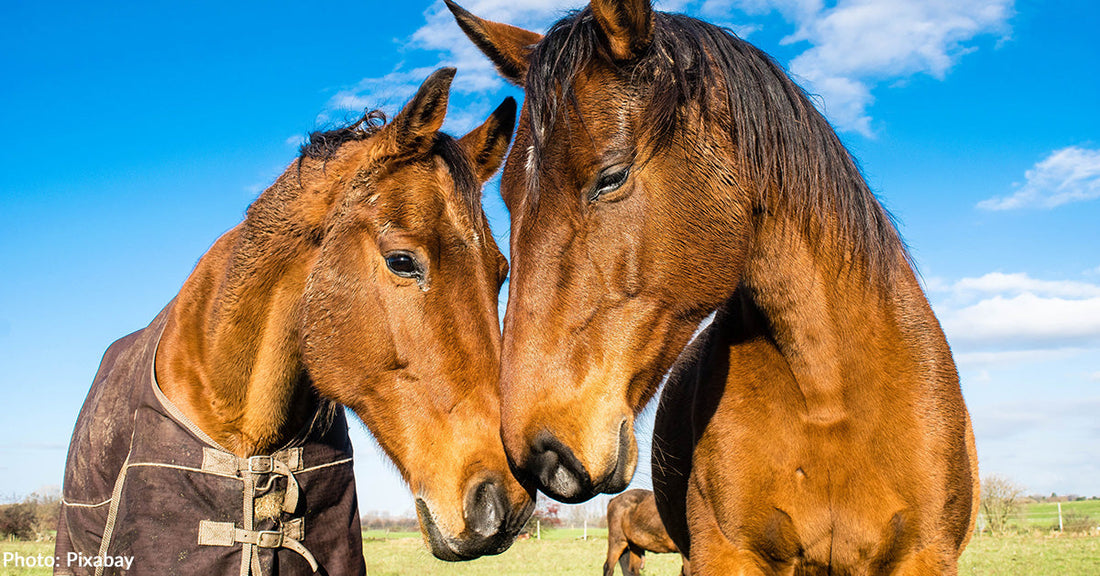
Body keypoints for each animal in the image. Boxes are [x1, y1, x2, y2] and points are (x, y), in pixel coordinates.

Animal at [446, 1, 979, 574]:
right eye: (507, 195)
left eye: (612, 176)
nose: (540, 456)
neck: (829, 397)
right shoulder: (727, 553)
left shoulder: (923, 555)